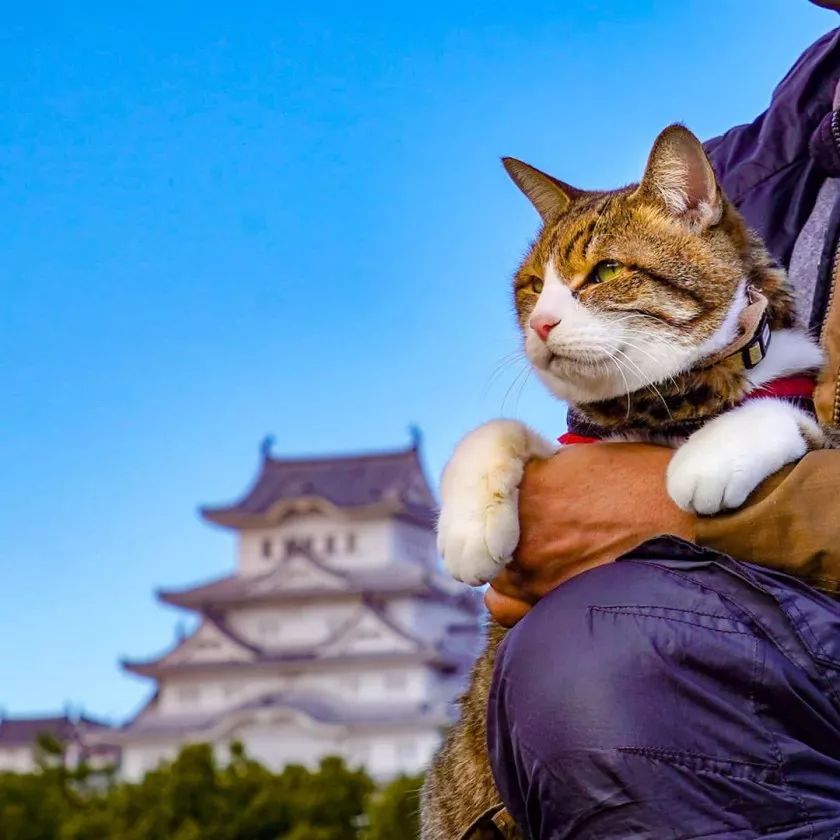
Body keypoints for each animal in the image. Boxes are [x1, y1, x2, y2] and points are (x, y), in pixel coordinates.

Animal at [424, 124, 832, 840]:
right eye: (533, 286)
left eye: (607, 272)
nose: (541, 324)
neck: (663, 406)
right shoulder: (569, 440)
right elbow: (496, 430)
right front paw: (470, 529)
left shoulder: (800, 408)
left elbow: (785, 413)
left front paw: (705, 459)